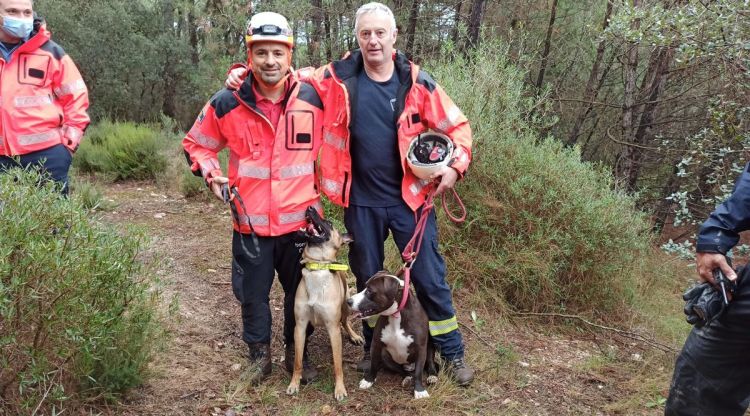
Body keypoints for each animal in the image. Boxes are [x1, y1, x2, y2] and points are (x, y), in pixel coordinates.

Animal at [288, 208, 364, 400]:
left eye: (329, 223)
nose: (310, 208)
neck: (317, 267)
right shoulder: (300, 326)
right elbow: (298, 361)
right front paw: (294, 383)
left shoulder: (333, 329)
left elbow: (338, 365)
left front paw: (340, 389)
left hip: (346, 304)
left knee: (345, 321)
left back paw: (354, 336)